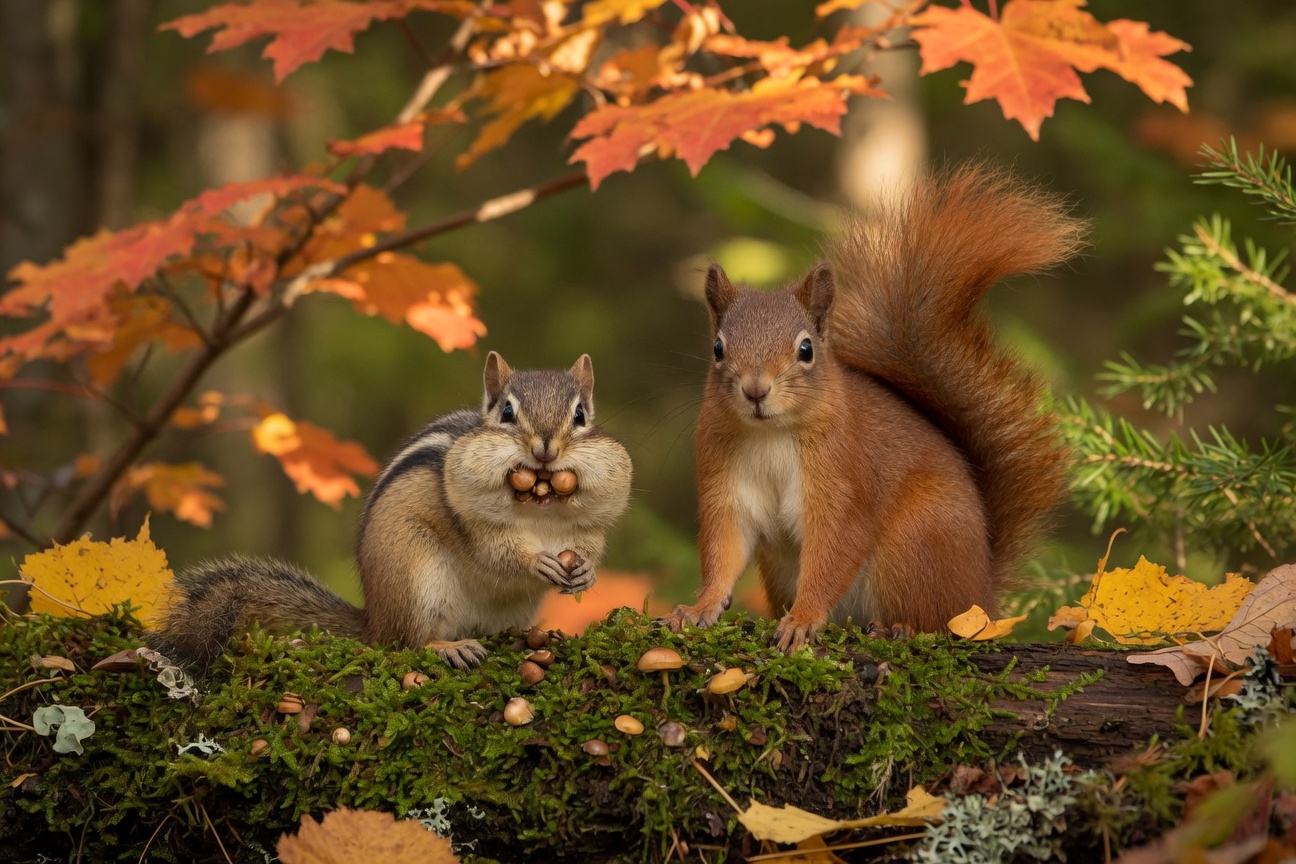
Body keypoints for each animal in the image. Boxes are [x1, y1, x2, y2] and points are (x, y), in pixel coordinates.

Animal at [153, 351, 633, 673]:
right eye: (507, 412)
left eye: (580, 415)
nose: (545, 449)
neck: (540, 506)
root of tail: (375, 619)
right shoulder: (475, 524)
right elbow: (497, 552)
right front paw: (537, 562)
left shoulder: (587, 529)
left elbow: (590, 548)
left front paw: (585, 573)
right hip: (415, 576)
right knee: (405, 643)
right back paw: (446, 647)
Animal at [664, 165, 1084, 651]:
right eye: (717, 348)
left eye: (806, 350)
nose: (755, 391)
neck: (771, 434)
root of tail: (981, 594)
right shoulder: (725, 486)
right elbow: (724, 551)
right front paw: (698, 609)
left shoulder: (844, 485)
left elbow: (833, 556)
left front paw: (803, 619)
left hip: (916, 543)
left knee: (938, 621)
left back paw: (897, 627)